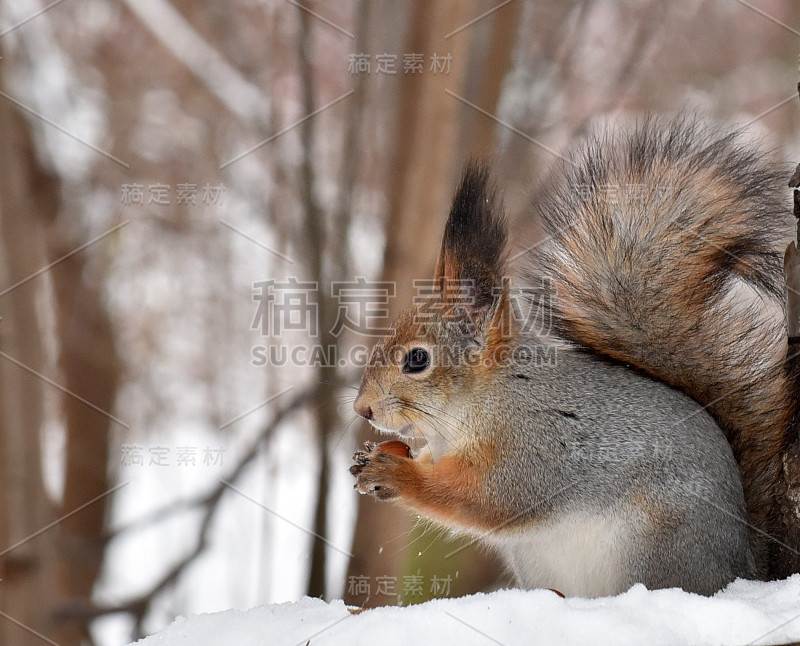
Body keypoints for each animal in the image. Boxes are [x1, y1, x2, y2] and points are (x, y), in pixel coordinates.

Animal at [350, 119, 800, 600]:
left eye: (417, 360)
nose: (363, 409)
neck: (488, 399)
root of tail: (740, 568)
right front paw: (374, 458)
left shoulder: (537, 446)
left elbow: (488, 498)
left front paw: (397, 475)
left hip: (656, 547)